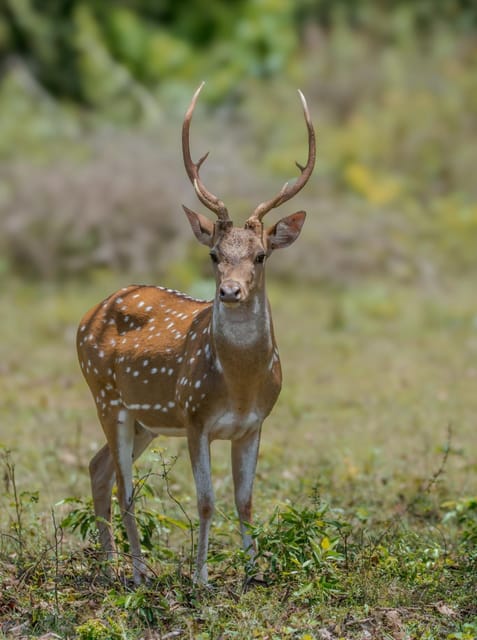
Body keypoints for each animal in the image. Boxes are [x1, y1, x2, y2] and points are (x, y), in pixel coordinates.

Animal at [76, 81, 314, 584]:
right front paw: (201, 578)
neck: (240, 385)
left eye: (261, 254)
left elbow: (245, 502)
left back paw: (109, 566)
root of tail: (89, 314)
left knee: (98, 467)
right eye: (214, 255)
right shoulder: (194, 416)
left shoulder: (254, 424)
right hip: (107, 396)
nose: (229, 291)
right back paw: (138, 572)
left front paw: (252, 574)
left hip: (145, 419)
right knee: (124, 486)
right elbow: (206, 503)